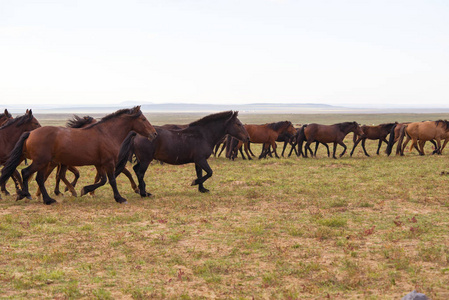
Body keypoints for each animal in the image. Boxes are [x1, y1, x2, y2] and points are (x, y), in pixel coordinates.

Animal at [0, 105, 158, 204]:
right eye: (143, 119)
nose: (154, 134)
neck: (107, 133)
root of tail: (30, 133)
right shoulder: (108, 163)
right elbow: (111, 180)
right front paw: (119, 198)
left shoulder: (99, 164)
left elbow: (102, 180)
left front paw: (84, 190)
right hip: (41, 162)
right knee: (26, 173)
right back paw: (29, 195)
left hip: (44, 163)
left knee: (38, 178)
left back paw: (44, 198)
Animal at [114, 111, 248, 196]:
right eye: (238, 124)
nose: (247, 138)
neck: (203, 134)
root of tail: (136, 134)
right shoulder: (201, 160)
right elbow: (209, 172)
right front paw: (194, 182)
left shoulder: (198, 161)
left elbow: (200, 173)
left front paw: (202, 189)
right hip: (146, 160)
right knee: (140, 173)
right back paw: (143, 193)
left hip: (143, 160)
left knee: (136, 170)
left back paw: (144, 191)